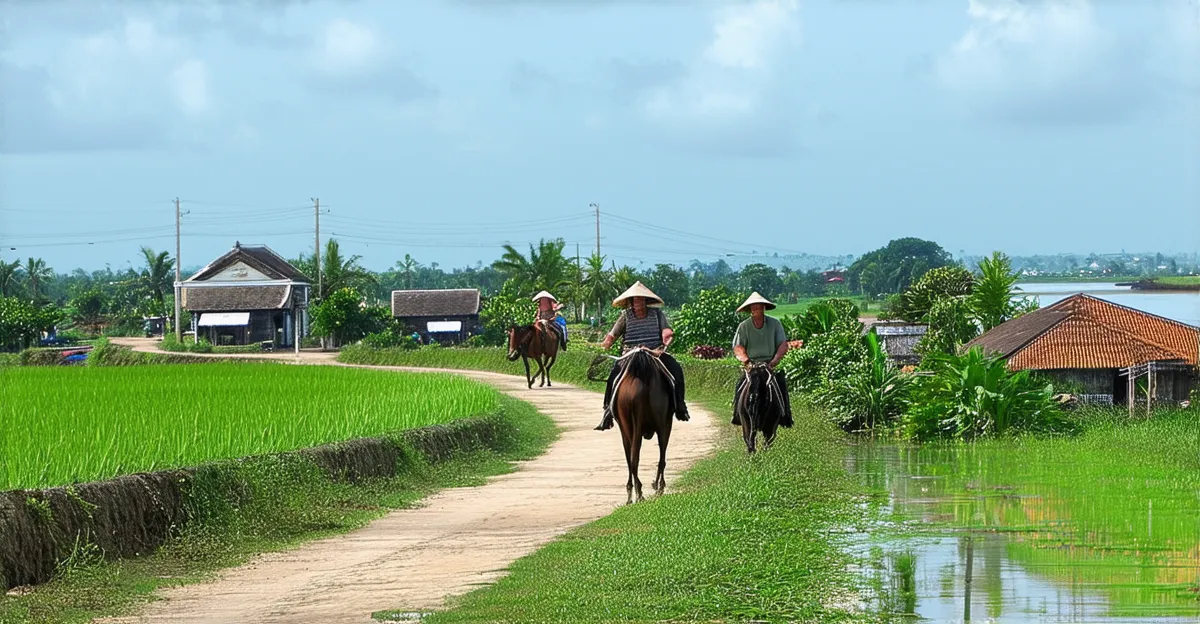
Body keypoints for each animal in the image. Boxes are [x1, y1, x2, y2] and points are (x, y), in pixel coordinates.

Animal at [609, 348, 676, 504]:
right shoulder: (665, 424)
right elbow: (662, 456)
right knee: (640, 456)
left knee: (631, 459)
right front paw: (659, 486)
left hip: (628, 426)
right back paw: (645, 491)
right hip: (647, 425)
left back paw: (633, 493)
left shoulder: (624, 429)